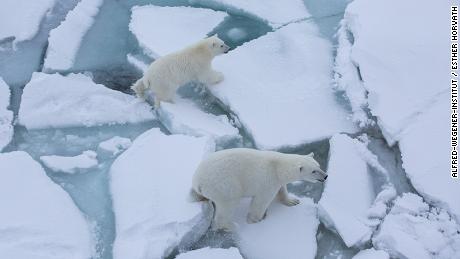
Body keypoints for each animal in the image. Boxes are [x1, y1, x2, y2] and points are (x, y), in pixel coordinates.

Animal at [190, 148, 328, 232]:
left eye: (319, 165)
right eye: (313, 171)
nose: (325, 176)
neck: (278, 166)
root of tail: (198, 182)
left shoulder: (276, 180)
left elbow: (282, 189)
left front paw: (292, 201)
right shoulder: (267, 181)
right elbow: (261, 202)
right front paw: (257, 220)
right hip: (225, 185)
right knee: (228, 205)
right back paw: (233, 226)